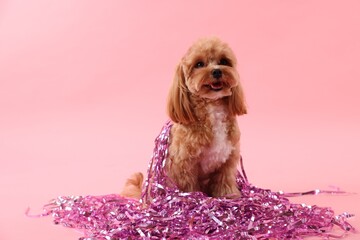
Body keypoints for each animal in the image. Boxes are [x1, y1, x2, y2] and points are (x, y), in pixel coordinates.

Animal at [121, 37, 248, 199]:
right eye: (199, 64)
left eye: (224, 61)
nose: (217, 71)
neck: (213, 108)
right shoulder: (183, 164)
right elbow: (188, 185)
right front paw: (192, 198)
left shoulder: (228, 159)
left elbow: (224, 180)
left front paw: (228, 195)